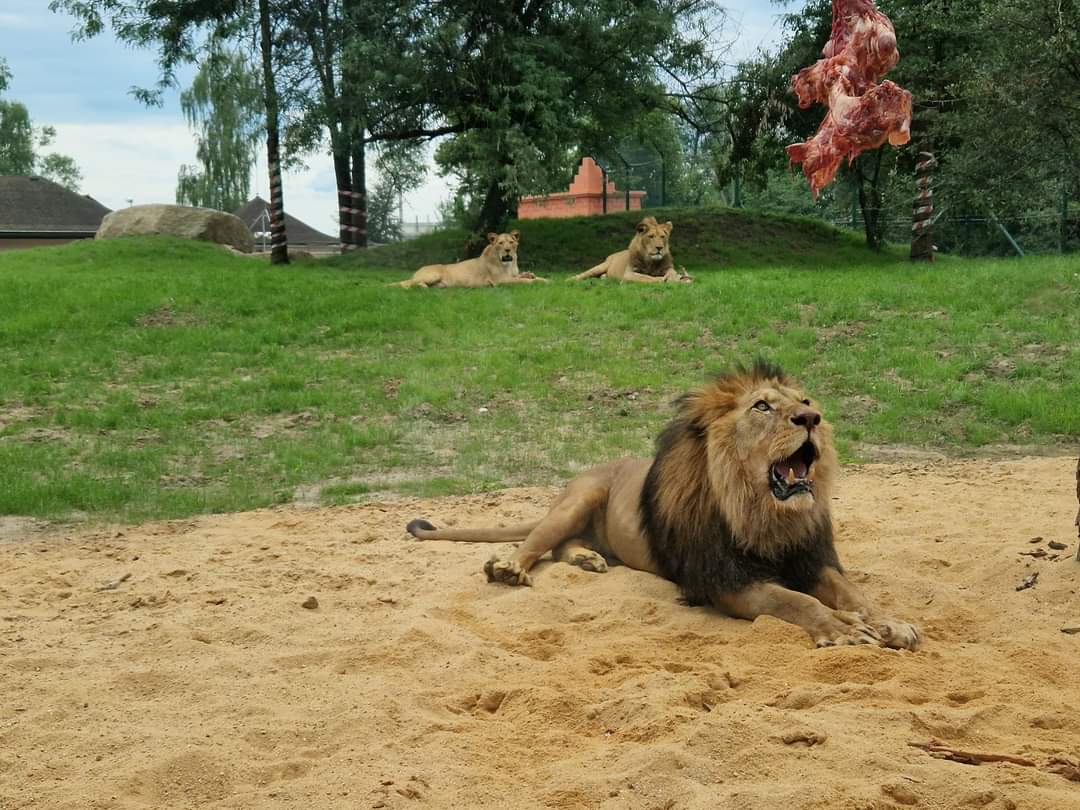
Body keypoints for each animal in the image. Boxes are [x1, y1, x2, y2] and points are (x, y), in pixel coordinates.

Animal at [392, 230, 548, 288]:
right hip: (433, 274)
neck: (509, 264)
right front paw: (537, 281)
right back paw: (419, 287)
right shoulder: (501, 281)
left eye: (511, 242)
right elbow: (525, 281)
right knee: (407, 283)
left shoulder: (513, 275)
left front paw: (545, 279)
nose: (508, 250)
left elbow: (532, 276)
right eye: (500, 243)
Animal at [406, 360, 920, 650]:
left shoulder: (809, 557)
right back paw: (510, 568)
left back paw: (589, 559)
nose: (811, 418)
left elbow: (854, 593)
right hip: (579, 498)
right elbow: (792, 600)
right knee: (537, 543)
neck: (761, 512)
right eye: (761, 406)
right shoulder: (724, 581)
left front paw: (892, 623)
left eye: (807, 400)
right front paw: (843, 628)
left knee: (563, 546)